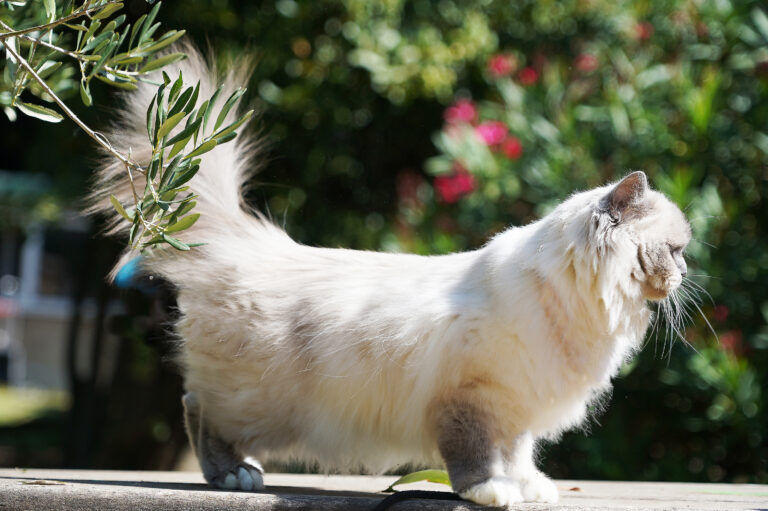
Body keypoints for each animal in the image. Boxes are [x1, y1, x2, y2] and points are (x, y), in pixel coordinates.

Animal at [87, 45, 692, 508]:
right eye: (675, 250)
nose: (686, 271)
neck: (572, 307)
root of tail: (247, 243)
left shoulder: (515, 409)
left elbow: (518, 457)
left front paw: (530, 489)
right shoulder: (470, 400)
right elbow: (477, 461)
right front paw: (492, 493)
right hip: (253, 400)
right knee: (199, 411)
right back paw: (237, 475)